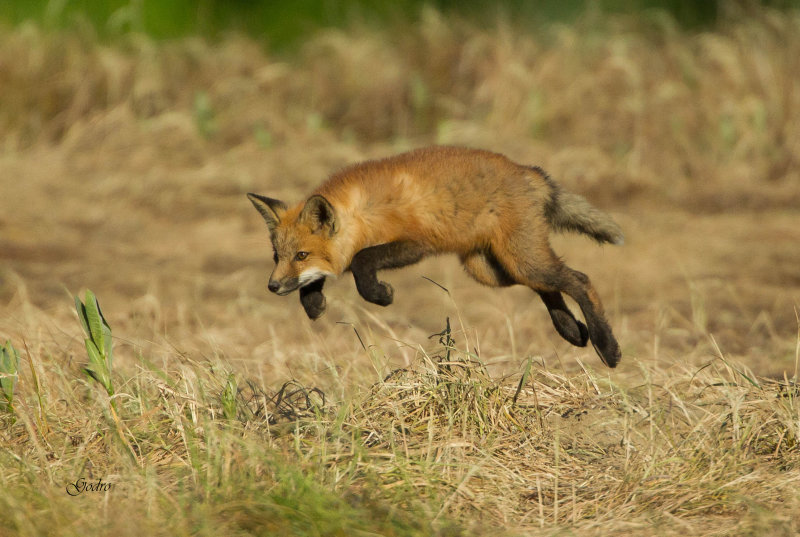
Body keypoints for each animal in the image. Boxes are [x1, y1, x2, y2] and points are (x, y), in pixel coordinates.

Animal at [248, 144, 624, 366]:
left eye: (301, 254)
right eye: (277, 256)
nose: (272, 287)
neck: (363, 210)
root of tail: (529, 171)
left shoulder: (415, 243)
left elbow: (360, 261)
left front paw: (379, 294)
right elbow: (318, 280)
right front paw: (313, 304)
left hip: (520, 260)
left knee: (580, 280)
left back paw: (606, 345)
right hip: (494, 270)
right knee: (550, 288)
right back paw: (571, 330)